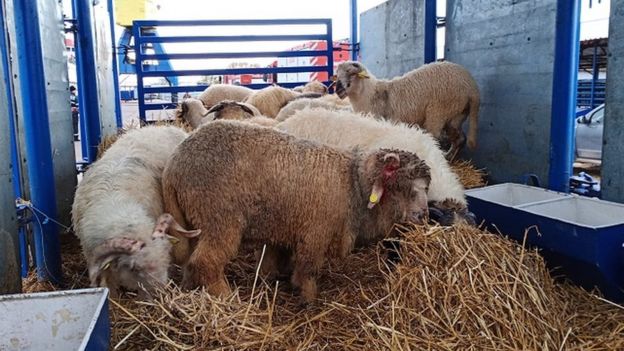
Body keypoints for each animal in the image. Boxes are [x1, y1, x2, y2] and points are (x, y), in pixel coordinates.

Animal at [163, 121, 432, 302]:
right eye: (402, 188)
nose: (423, 216)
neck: (354, 186)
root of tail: (174, 164)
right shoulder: (316, 233)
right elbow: (307, 268)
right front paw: (309, 298)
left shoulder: (285, 227)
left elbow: (276, 259)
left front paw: (274, 278)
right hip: (219, 218)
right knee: (204, 262)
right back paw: (227, 297)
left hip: (194, 220)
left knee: (190, 262)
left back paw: (191, 289)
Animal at [334, 60, 480, 160]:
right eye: (337, 75)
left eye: (352, 74)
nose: (338, 90)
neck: (370, 94)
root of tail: (472, 87)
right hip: (456, 115)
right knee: (459, 139)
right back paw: (450, 158)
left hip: (439, 112)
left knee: (437, 137)